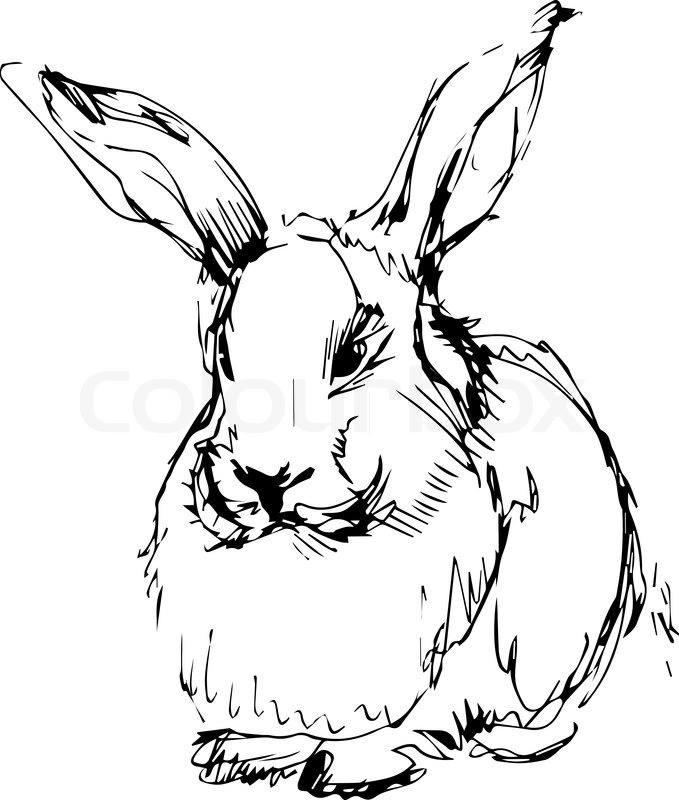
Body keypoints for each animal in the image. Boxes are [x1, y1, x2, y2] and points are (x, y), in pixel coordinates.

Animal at [1, 2, 645, 796]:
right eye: (220, 352)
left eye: (357, 351)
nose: (263, 478)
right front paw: (242, 752)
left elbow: (434, 723)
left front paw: (349, 763)